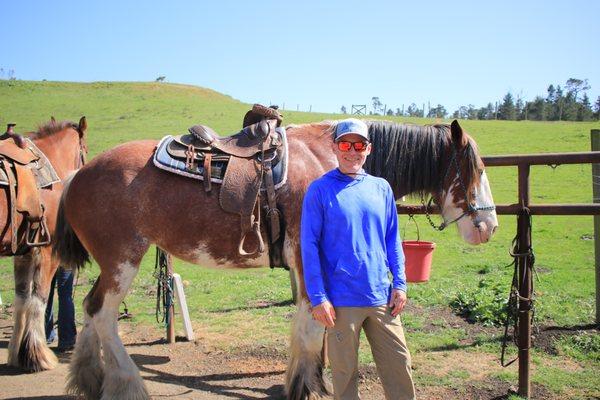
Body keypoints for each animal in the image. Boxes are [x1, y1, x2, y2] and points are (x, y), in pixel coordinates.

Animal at [3, 118, 87, 372]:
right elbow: (38, 298)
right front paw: (38, 355)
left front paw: (17, 354)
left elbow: (22, 298)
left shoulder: (24, 252)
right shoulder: (47, 252)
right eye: (85, 150)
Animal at [55, 119, 496, 400]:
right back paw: (127, 384)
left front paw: (311, 381)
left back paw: (89, 380)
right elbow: (311, 327)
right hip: (122, 261)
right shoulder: (305, 258)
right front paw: (304, 387)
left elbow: (309, 327)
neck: (326, 161)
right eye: (474, 169)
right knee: (103, 314)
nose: (488, 226)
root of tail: (78, 176)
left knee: (90, 308)